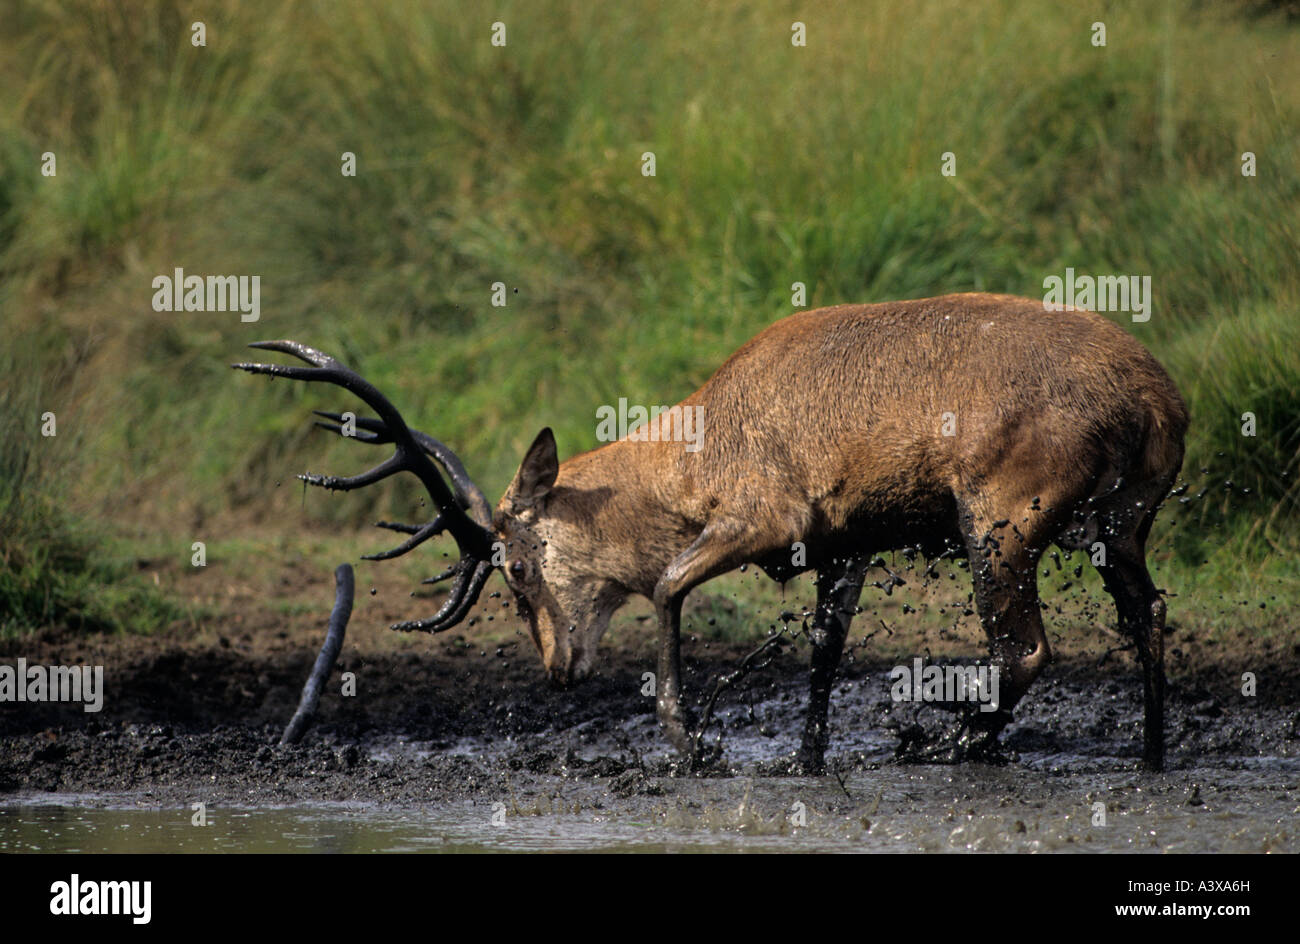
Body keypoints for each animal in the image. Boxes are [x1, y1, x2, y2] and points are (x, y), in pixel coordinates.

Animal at [235, 292, 1188, 772]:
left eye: (514, 568)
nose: (557, 668)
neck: (691, 454)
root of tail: (1155, 397)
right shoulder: (845, 544)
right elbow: (823, 650)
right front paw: (804, 760)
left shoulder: (769, 516)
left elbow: (664, 584)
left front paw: (693, 741)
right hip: (1120, 524)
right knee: (1147, 615)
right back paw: (1150, 756)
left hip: (998, 519)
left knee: (1027, 648)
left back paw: (944, 739)